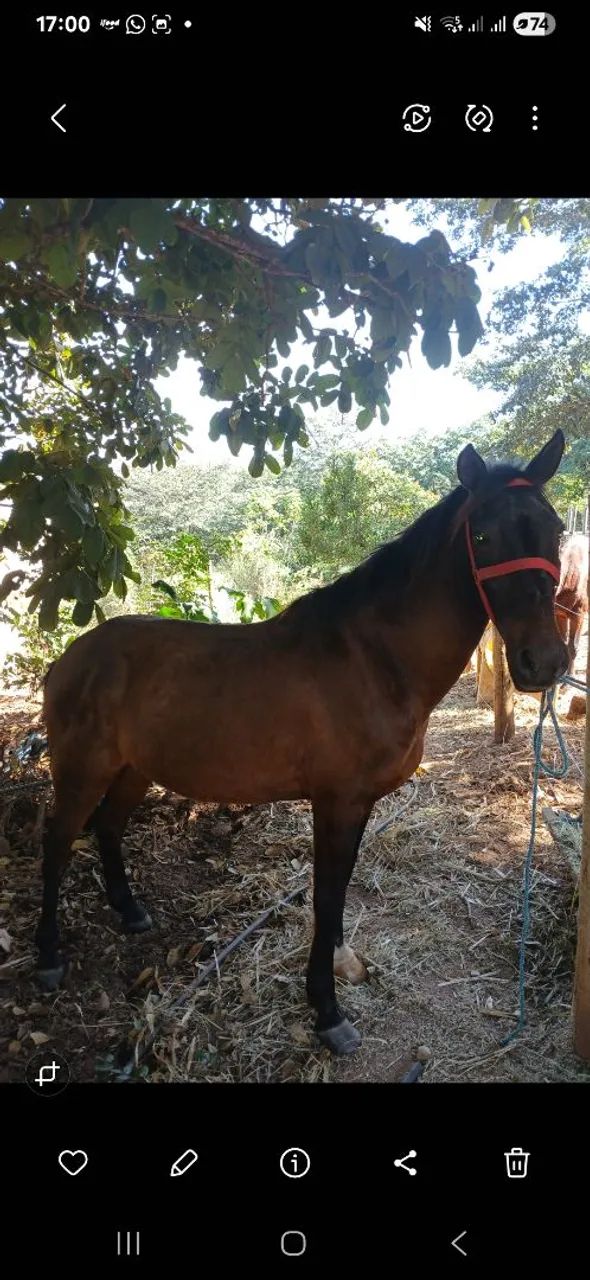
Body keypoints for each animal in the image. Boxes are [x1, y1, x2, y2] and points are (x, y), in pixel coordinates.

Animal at [36, 430, 568, 1056]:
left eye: (556, 530)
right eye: (481, 535)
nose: (544, 662)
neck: (375, 659)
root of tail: (70, 658)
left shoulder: (359, 803)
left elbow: (340, 887)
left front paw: (341, 967)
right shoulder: (336, 801)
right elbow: (326, 892)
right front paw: (327, 1011)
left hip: (133, 769)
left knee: (109, 826)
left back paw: (131, 911)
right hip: (81, 770)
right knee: (57, 842)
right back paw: (48, 957)